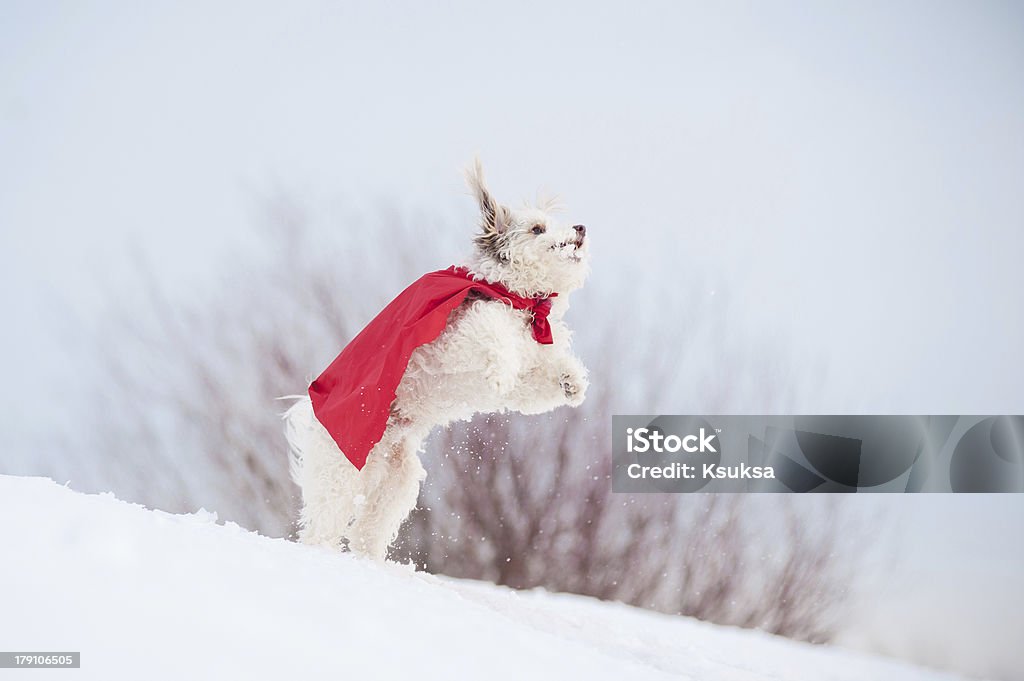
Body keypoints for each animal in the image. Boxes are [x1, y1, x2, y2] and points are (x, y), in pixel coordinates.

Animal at [286, 161, 593, 561]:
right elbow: (492, 330)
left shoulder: (531, 370)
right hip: (341, 470)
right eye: (537, 229)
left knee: (366, 533)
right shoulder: (457, 337)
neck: (520, 301)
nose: (580, 228)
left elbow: (539, 379)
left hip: (395, 487)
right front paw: (501, 370)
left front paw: (571, 381)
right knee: (322, 525)